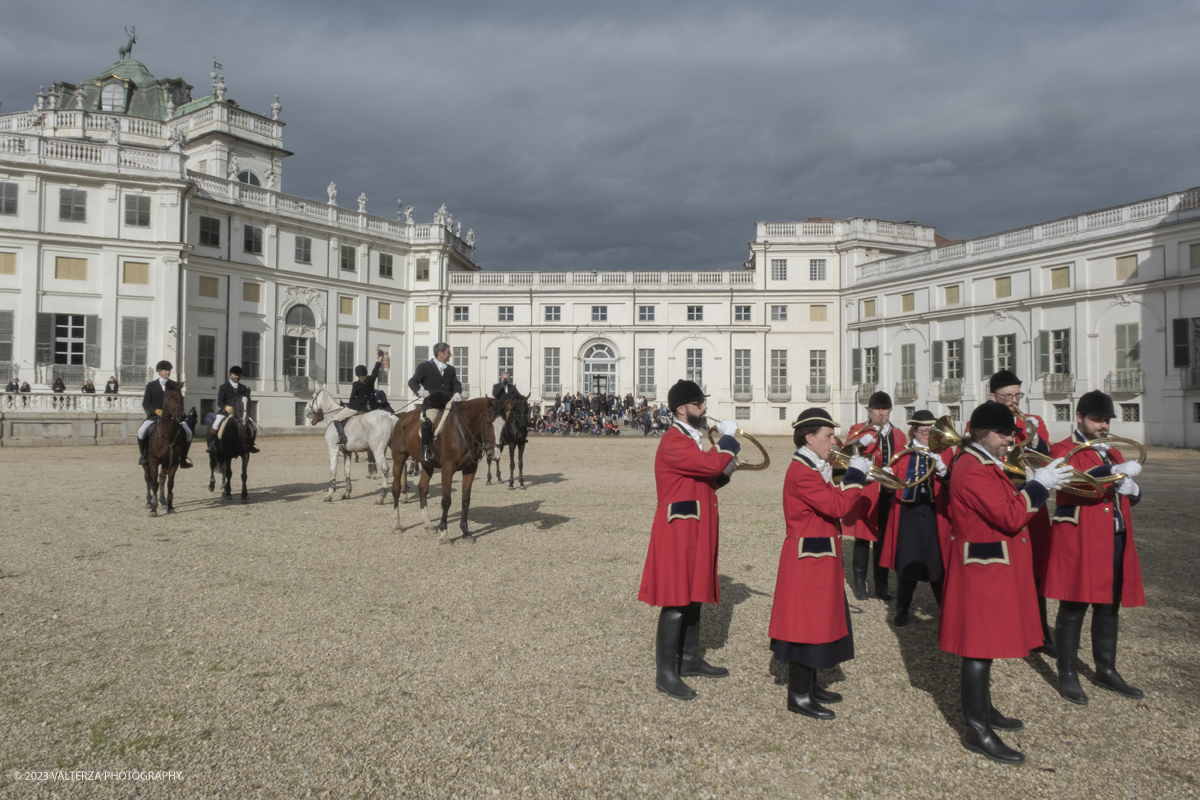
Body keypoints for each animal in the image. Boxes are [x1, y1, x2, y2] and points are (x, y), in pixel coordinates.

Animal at [141, 383, 186, 520]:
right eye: (168, 399)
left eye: (182, 398)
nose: (181, 416)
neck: (168, 435)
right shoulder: (154, 461)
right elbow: (154, 483)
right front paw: (153, 510)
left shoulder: (174, 462)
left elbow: (170, 484)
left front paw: (170, 507)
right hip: (146, 464)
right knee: (148, 478)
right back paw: (149, 502)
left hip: (166, 463)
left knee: (162, 479)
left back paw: (163, 501)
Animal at [391, 398, 499, 546]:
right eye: (488, 422)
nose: (495, 454)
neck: (464, 429)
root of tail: (401, 417)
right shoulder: (448, 468)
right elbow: (446, 500)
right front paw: (444, 534)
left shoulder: (471, 469)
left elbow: (466, 499)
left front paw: (466, 532)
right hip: (399, 459)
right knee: (396, 488)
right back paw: (397, 525)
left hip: (427, 464)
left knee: (423, 488)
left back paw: (428, 524)